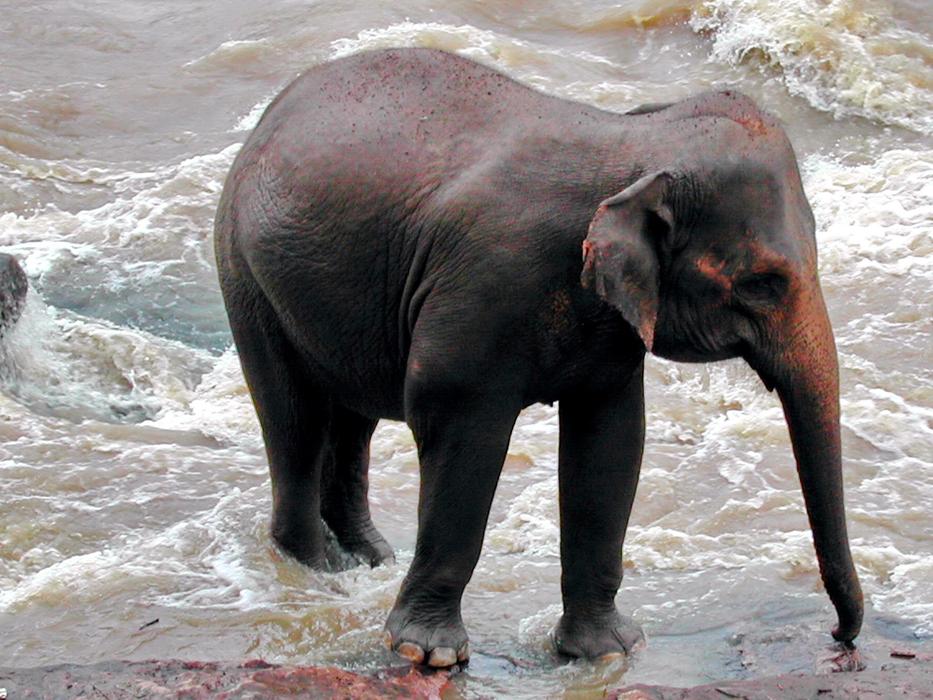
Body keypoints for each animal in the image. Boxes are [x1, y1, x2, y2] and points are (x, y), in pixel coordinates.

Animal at [214, 47, 863, 667]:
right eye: (762, 284)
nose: (840, 635)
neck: (631, 143)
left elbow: (610, 441)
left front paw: (607, 650)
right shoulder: (483, 285)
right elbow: (457, 426)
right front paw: (428, 653)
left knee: (353, 417)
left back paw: (368, 559)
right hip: (244, 269)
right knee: (294, 416)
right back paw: (317, 567)